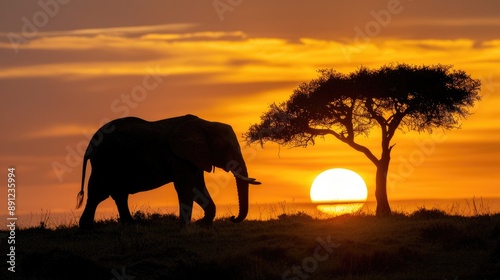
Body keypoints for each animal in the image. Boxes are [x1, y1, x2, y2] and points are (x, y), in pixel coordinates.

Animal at [76, 115, 262, 229]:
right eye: (225, 148)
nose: (232, 218)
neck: (206, 123)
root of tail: (90, 145)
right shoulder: (178, 157)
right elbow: (186, 187)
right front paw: (186, 228)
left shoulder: (194, 156)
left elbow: (197, 188)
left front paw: (203, 225)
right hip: (107, 160)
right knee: (101, 193)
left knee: (108, 194)